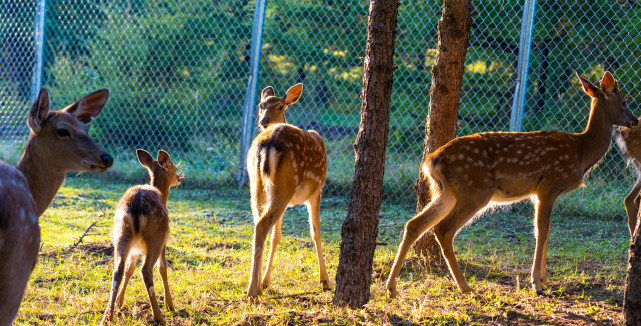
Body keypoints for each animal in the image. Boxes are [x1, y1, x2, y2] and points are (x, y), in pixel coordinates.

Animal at [100, 149, 184, 324]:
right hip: (155, 235)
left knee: (118, 270)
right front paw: (170, 305)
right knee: (146, 270)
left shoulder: (134, 249)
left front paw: (119, 302)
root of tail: (135, 207)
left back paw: (107, 317)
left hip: (121, 234)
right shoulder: (164, 240)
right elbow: (162, 268)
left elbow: (129, 269)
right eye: (173, 166)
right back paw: (158, 316)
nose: (178, 177)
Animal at [246, 83, 330, 302]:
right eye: (261, 105)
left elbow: (277, 235)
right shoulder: (316, 191)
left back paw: (256, 287)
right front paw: (325, 281)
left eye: (280, 106)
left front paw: (266, 281)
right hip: (286, 185)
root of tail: (268, 142)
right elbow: (316, 232)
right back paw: (252, 292)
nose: (264, 120)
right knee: (262, 226)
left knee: (258, 224)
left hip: (257, 186)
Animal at [382, 71, 636, 298]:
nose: (634, 121)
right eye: (624, 101)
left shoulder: (538, 193)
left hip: (447, 192)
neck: (581, 153)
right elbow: (542, 231)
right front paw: (537, 284)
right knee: (444, 229)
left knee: (415, 224)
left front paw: (544, 279)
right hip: (475, 190)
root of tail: (432, 160)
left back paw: (392, 287)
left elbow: (544, 231)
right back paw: (465, 287)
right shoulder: (549, 185)